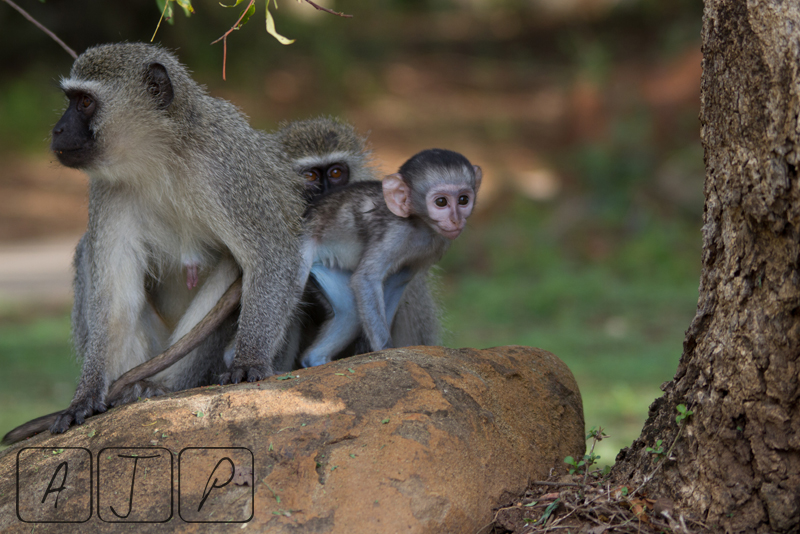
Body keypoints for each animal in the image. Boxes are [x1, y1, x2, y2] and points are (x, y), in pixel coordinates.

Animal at [45, 42, 305, 434]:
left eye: (85, 102)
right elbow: (115, 303)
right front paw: (86, 395)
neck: (160, 157)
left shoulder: (226, 168)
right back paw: (127, 392)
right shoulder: (108, 190)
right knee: (88, 255)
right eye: (70, 100)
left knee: (231, 267)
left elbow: (270, 254)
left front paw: (250, 359)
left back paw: (161, 387)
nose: (57, 129)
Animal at [297, 149, 482, 368]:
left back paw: (314, 359)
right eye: (441, 202)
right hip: (303, 246)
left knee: (350, 311)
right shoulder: (395, 233)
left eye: (463, 200)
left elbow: (395, 283)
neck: (420, 225)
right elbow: (366, 279)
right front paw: (385, 349)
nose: (455, 220)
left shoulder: (432, 248)